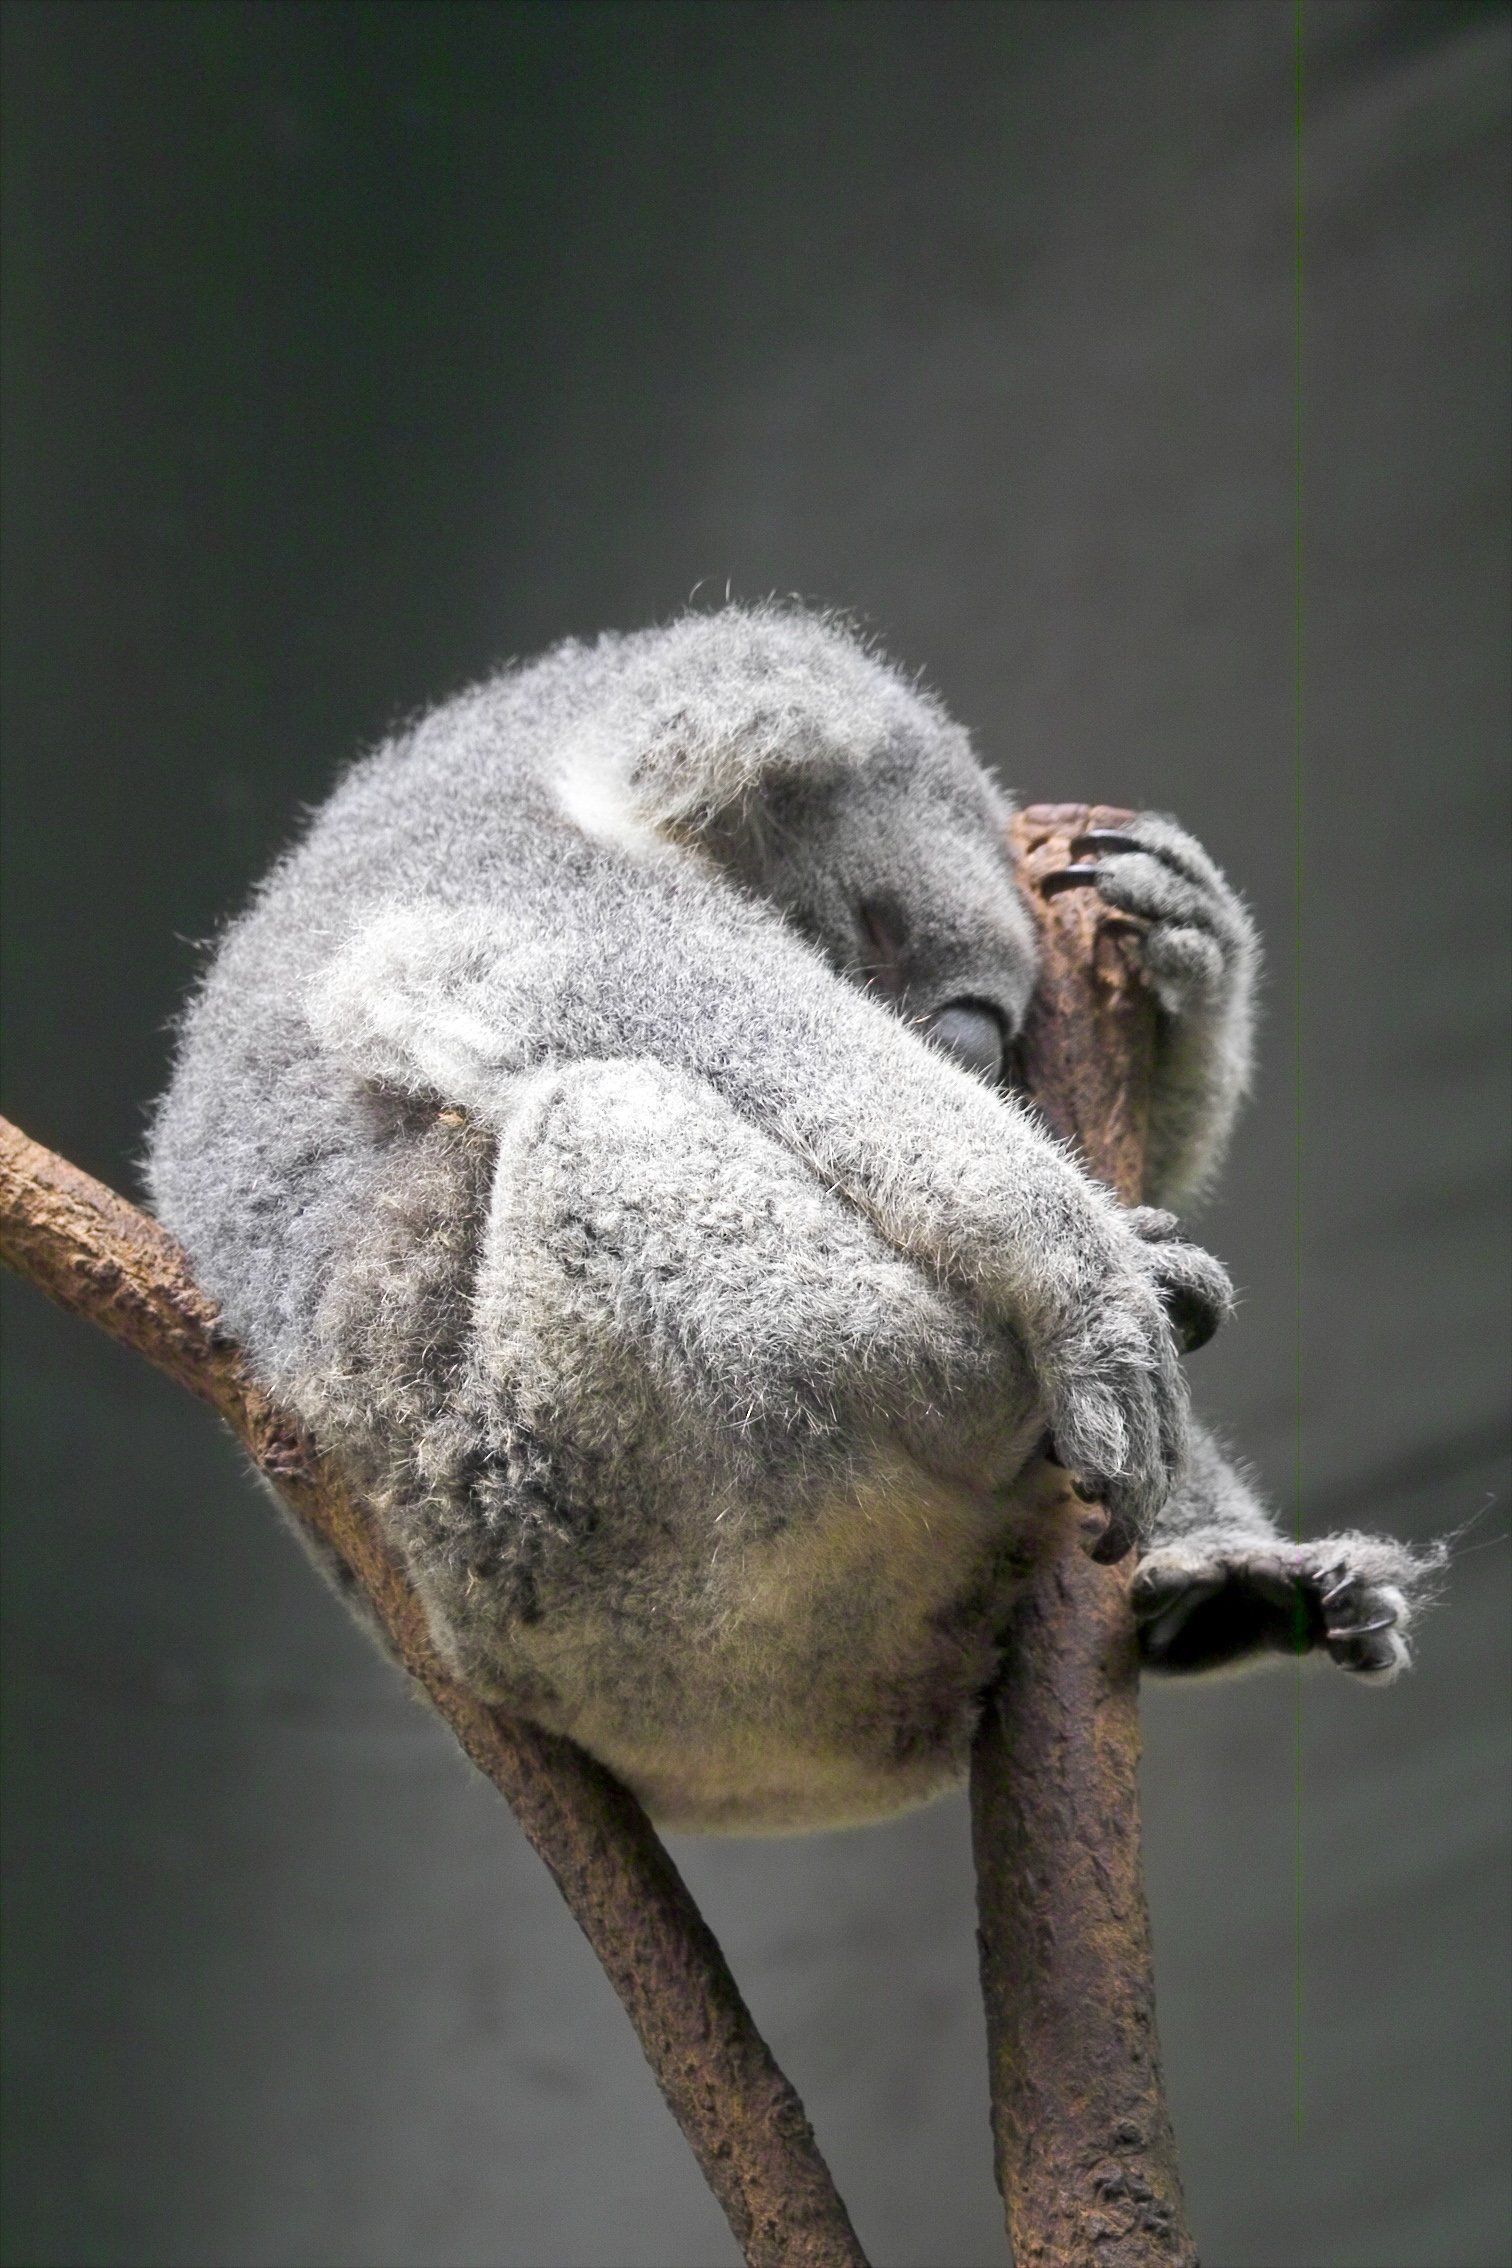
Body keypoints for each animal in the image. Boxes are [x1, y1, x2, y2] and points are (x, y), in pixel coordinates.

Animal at [147, 605, 1439, 1831]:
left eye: (1018, 1024)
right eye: (877, 924)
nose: (972, 1044)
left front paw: (1188, 941)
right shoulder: (490, 881)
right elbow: (718, 1013)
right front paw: (1090, 1283)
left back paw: (1243, 1585)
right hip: (568, 1520)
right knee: (616, 1127)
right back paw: (1054, 1374)